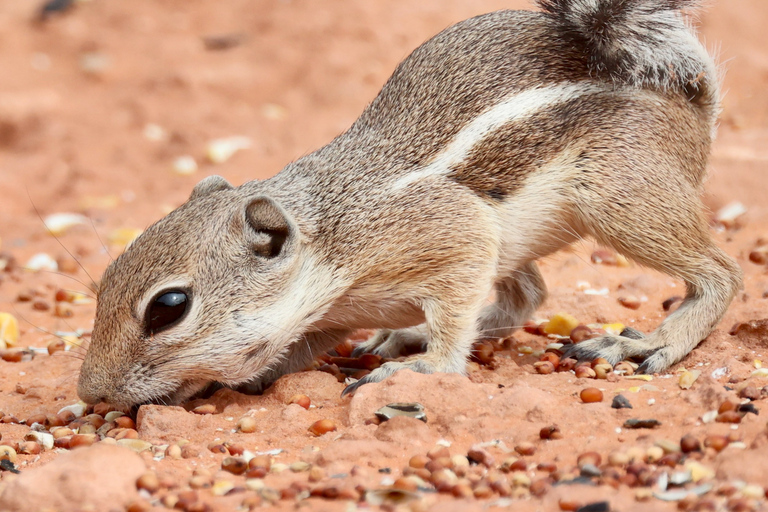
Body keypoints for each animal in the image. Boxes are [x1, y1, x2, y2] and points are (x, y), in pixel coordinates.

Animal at [78, 0, 744, 408]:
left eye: (168, 308)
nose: (89, 393)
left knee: (721, 275)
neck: (331, 239)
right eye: (105, 281)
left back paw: (650, 342)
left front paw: (427, 369)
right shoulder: (326, 318)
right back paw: (405, 335)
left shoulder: (455, 235)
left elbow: (452, 330)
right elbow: (294, 351)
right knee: (528, 295)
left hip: (624, 198)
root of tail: (690, 97)